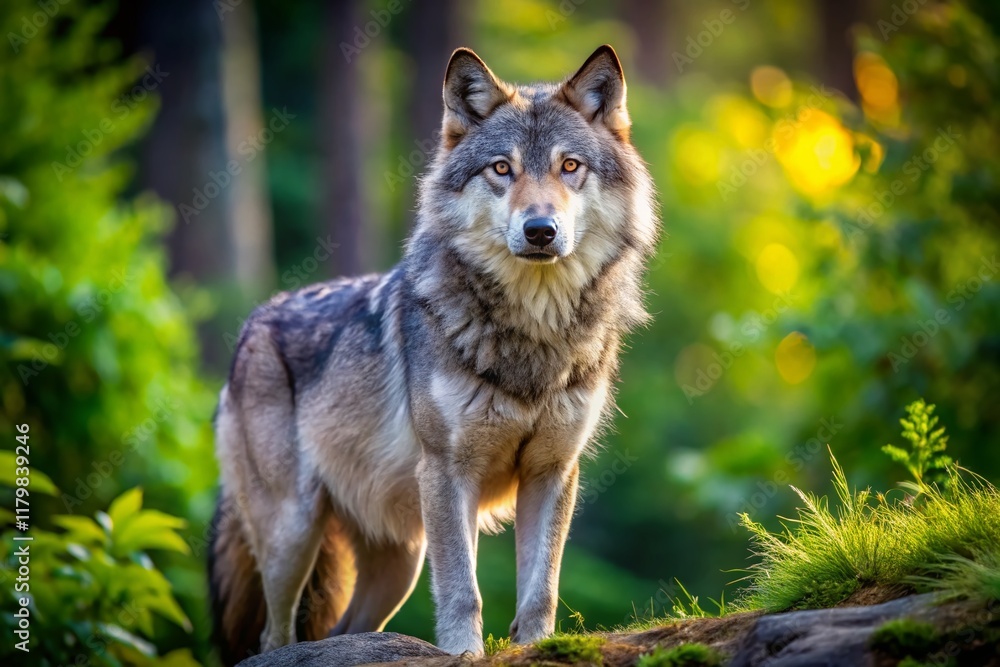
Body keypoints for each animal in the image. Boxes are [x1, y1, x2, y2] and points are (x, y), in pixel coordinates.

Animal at [209, 44, 659, 664]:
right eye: (502, 169)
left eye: (570, 167)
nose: (540, 229)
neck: (532, 330)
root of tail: (254, 323)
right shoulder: (448, 471)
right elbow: (463, 589)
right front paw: (464, 653)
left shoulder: (551, 472)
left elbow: (541, 589)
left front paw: (539, 646)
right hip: (293, 536)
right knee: (272, 636)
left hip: (396, 563)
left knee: (345, 629)